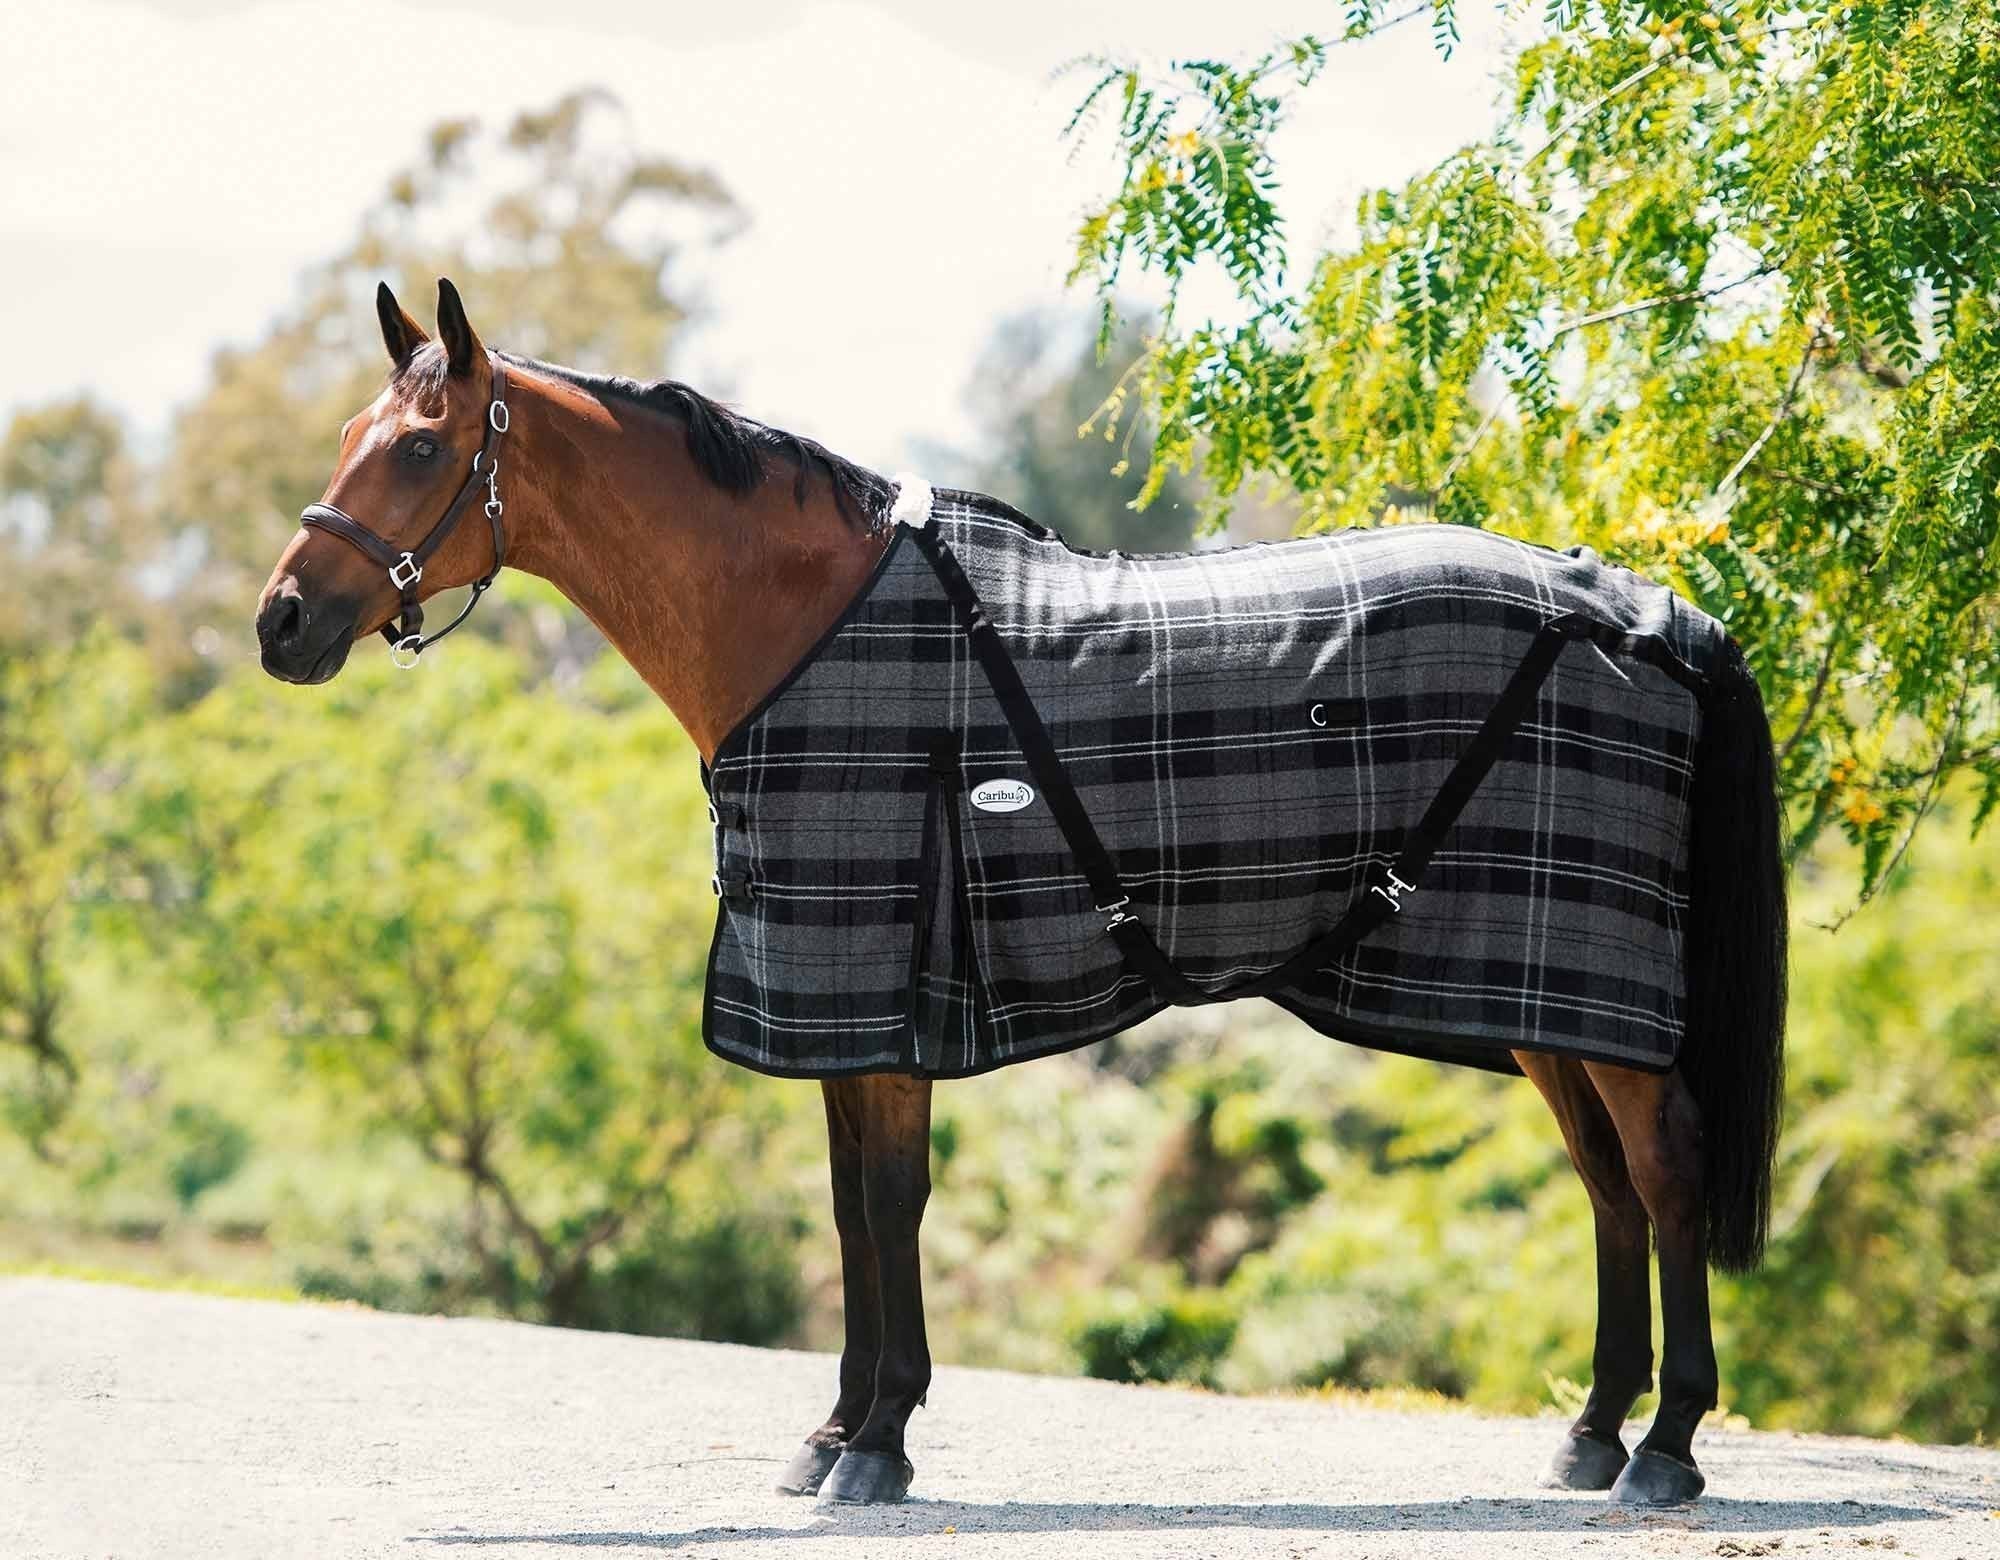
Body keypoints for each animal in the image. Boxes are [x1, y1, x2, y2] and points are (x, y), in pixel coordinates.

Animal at [256, 279, 1787, 1509]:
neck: (808, 626)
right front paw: (834, 1434)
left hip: (1597, 996)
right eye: (345, 438)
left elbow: (889, 1204)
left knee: (1662, 1171)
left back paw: (1666, 1452)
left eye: (417, 447)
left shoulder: (885, 987)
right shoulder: (840, 1005)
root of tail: (1638, 608)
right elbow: (852, 1208)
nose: (281, 623)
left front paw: (877, 1444)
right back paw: (1591, 1434)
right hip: (1549, 1007)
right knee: (1608, 1189)